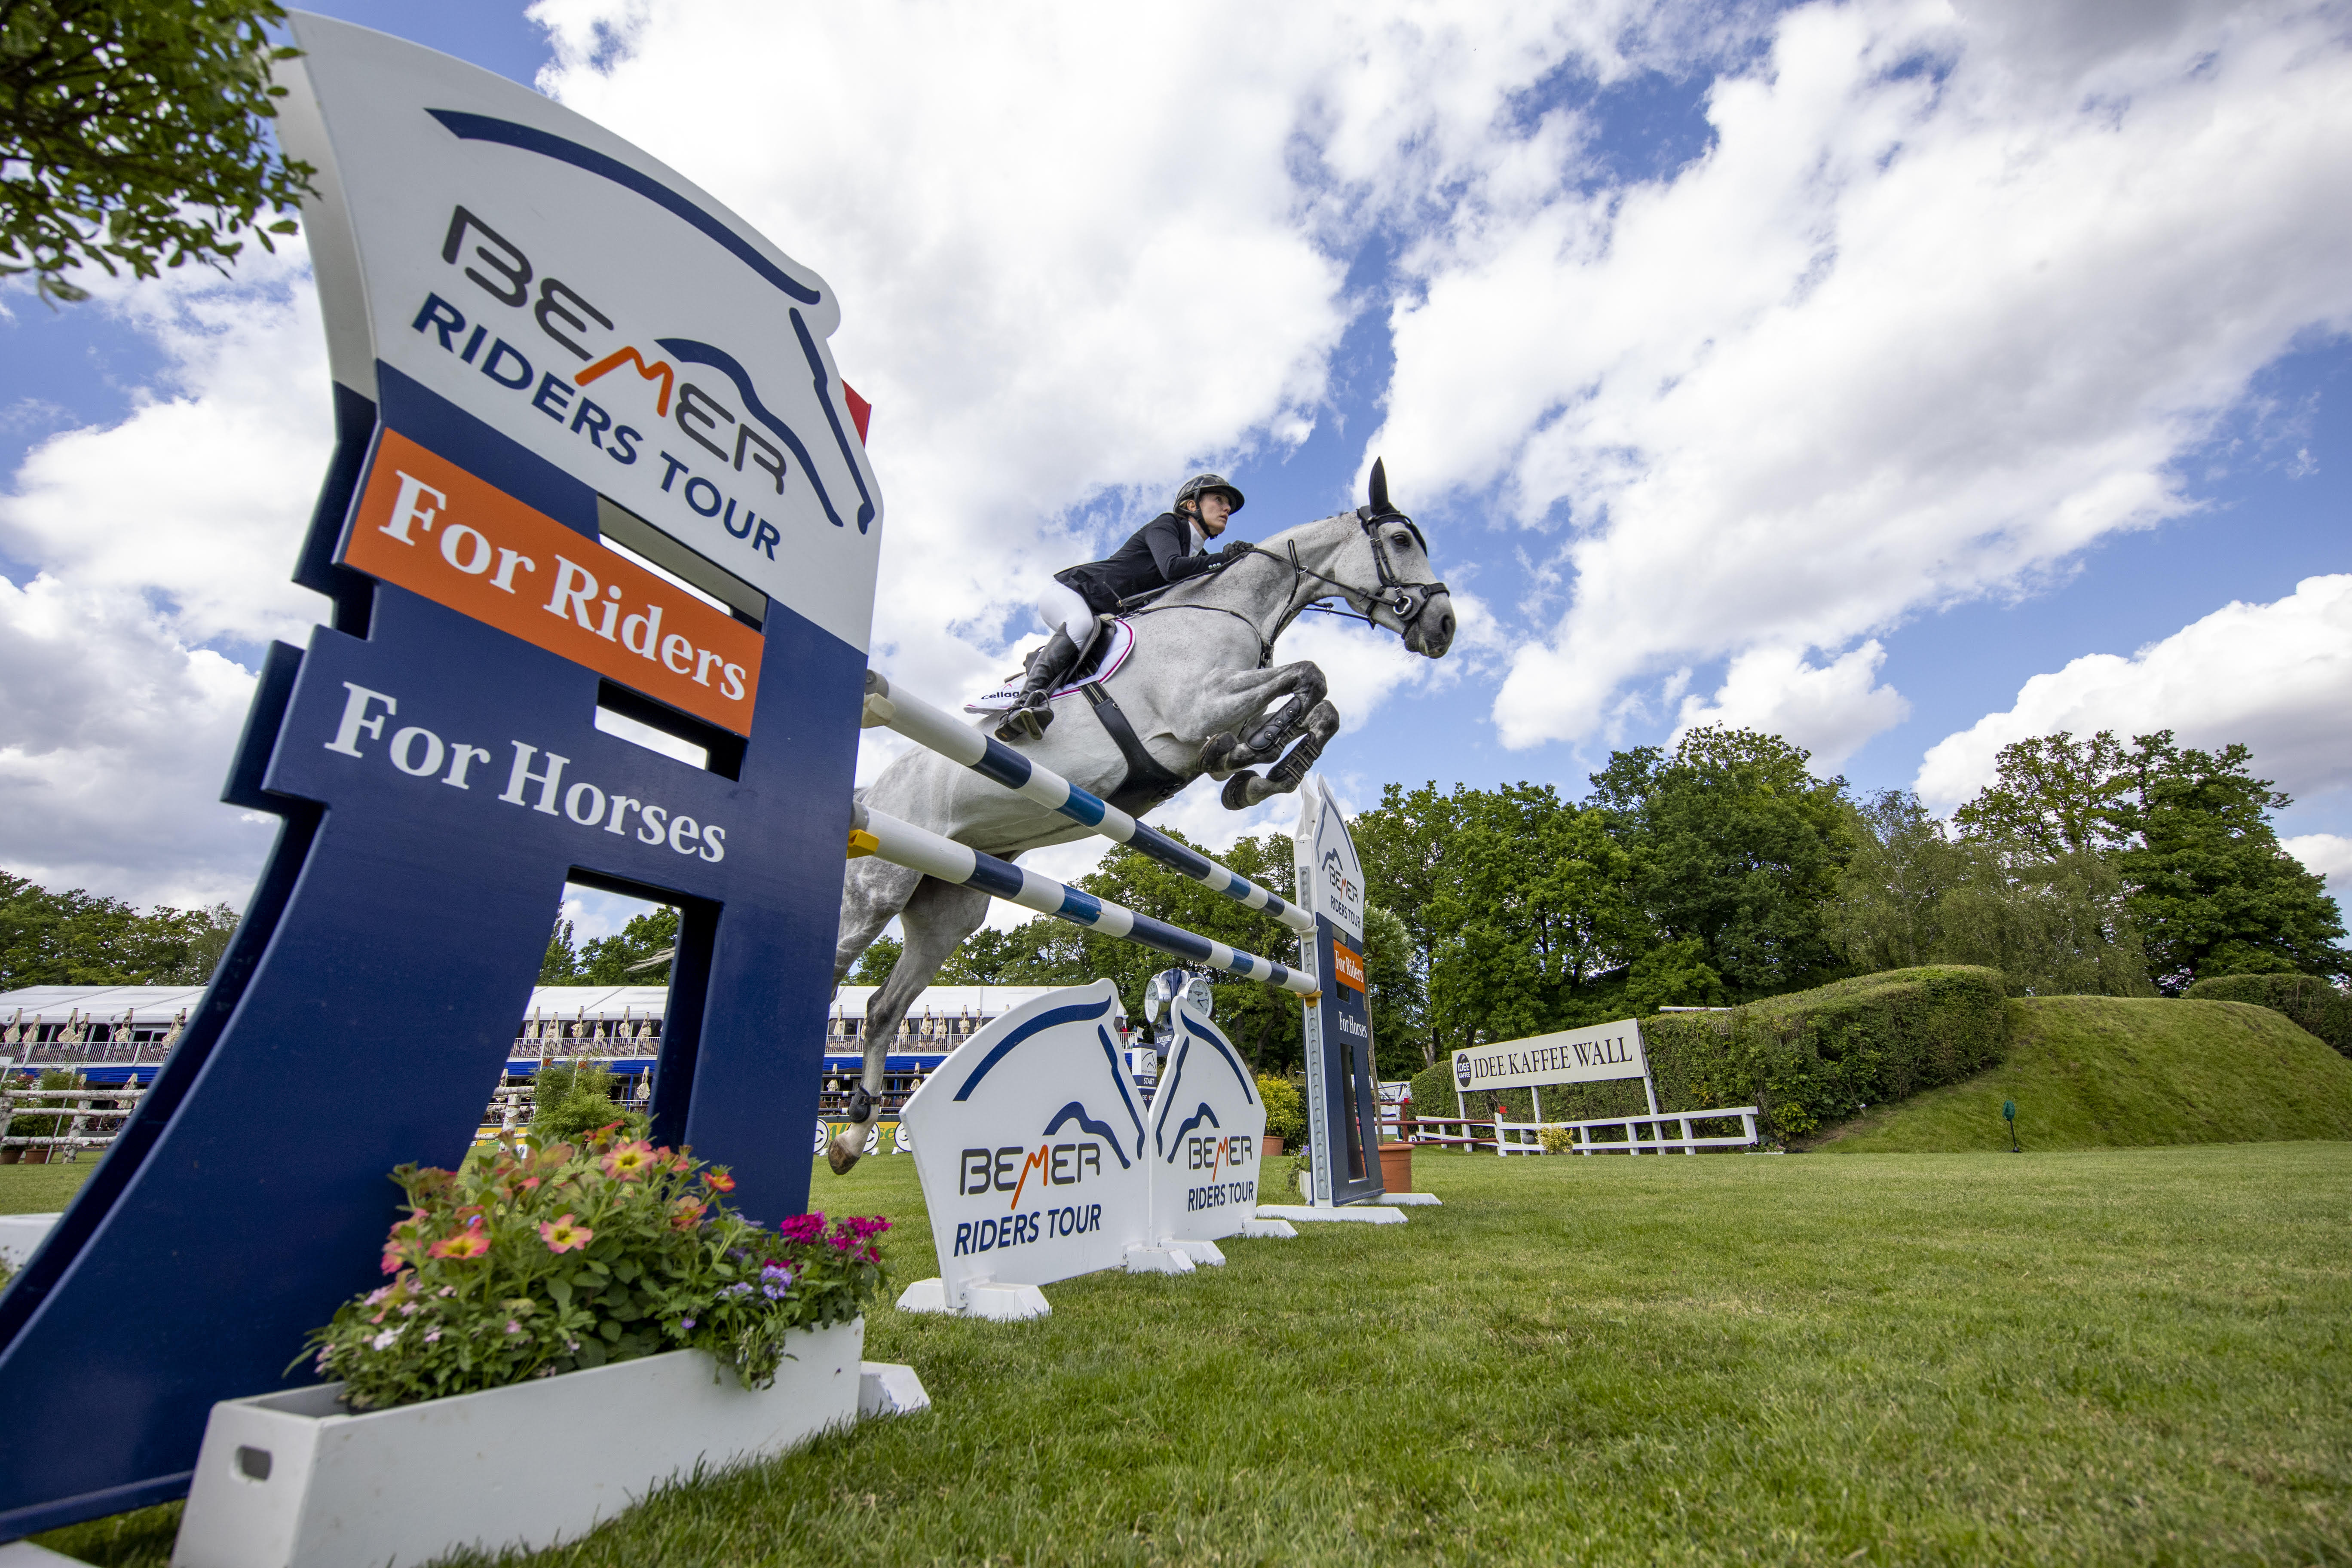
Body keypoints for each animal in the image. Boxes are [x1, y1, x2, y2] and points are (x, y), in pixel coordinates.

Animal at [828, 460, 1449, 1170]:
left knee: (883, 1007)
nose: (1445, 625)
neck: (1231, 609)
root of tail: (875, 788)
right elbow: (1312, 675)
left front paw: (1258, 773)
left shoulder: (1218, 715)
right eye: (1400, 540)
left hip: (947, 906)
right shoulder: (1200, 705)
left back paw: (850, 1137)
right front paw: (1257, 759)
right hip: (877, 886)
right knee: (844, 969)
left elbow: (1318, 707)